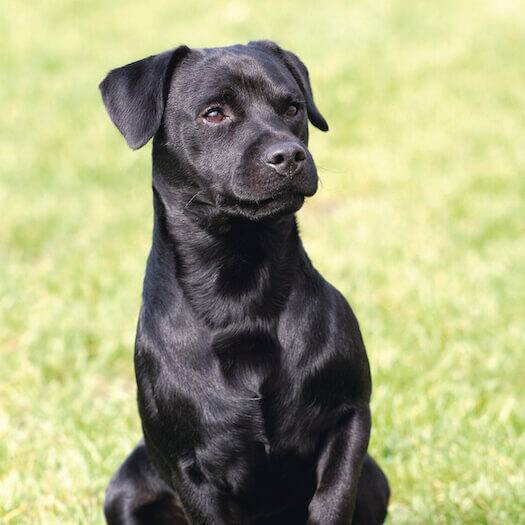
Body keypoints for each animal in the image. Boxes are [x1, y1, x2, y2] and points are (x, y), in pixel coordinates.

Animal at [99, 39, 388, 520]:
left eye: (292, 107)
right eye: (214, 113)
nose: (289, 155)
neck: (242, 290)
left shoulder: (349, 418)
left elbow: (332, 502)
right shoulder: (188, 467)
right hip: (124, 491)